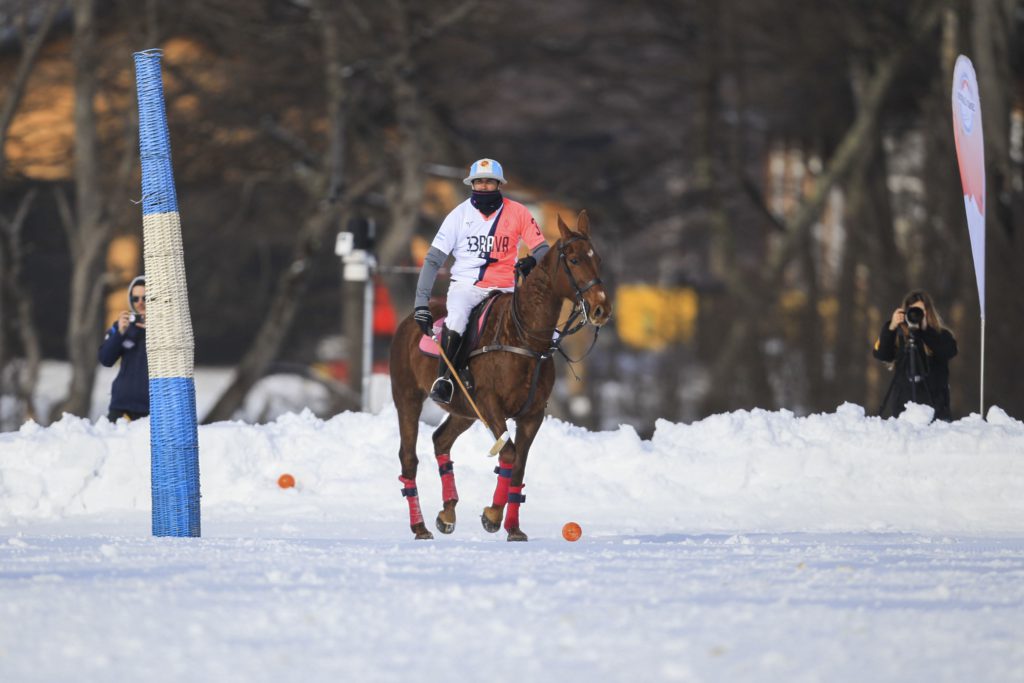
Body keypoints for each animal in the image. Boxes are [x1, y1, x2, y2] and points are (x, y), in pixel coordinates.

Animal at [385, 210, 606, 540]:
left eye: (597, 259)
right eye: (575, 259)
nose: (601, 308)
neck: (524, 336)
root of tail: (410, 320)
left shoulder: (532, 414)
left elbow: (518, 467)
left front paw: (513, 527)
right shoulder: (490, 404)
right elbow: (509, 454)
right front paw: (492, 515)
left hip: (463, 409)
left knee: (440, 440)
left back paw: (447, 512)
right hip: (407, 396)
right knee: (408, 458)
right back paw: (420, 526)